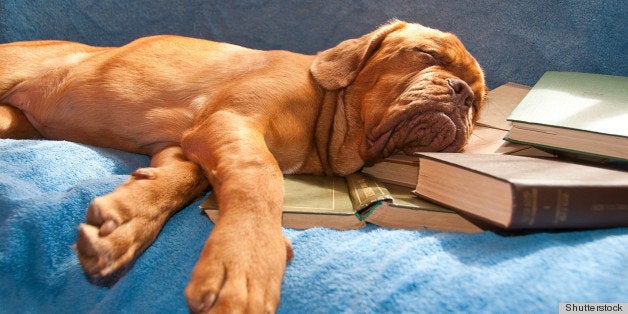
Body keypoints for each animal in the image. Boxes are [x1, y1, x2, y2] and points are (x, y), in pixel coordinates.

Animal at [0, 20, 486, 314]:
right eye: (426, 54)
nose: (464, 94)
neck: (324, 114)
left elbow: (181, 181)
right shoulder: (229, 121)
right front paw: (247, 256)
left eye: (480, 100)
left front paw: (129, 219)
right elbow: (260, 174)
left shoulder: (188, 143)